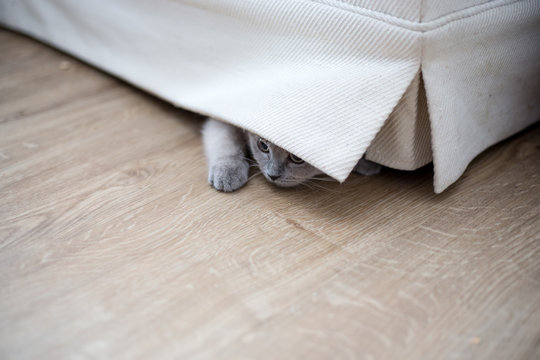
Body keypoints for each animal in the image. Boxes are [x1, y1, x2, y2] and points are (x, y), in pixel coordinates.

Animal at [201, 117, 380, 191]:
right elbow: (227, 144)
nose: (273, 175)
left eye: (297, 158)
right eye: (262, 145)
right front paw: (228, 172)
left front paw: (367, 162)